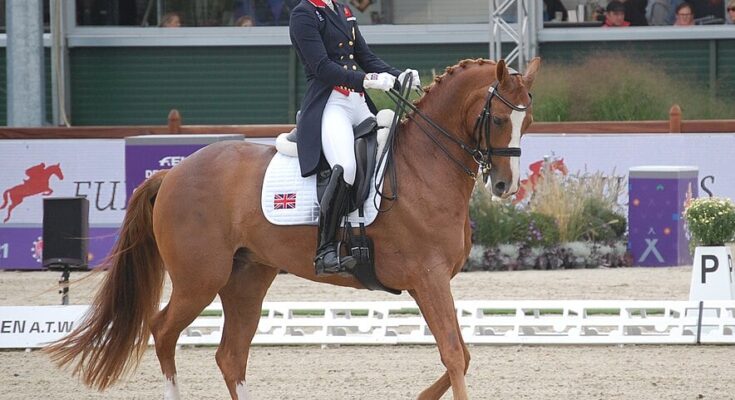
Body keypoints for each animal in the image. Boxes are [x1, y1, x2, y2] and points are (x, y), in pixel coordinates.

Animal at [46, 57, 540, 398]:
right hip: (199, 279)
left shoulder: (429, 283)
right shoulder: (429, 277)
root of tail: (172, 173)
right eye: (499, 119)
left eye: (529, 121)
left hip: (247, 278)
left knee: (230, 356)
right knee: (163, 331)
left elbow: (463, 354)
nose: (504, 185)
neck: (424, 164)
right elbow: (455, 355)